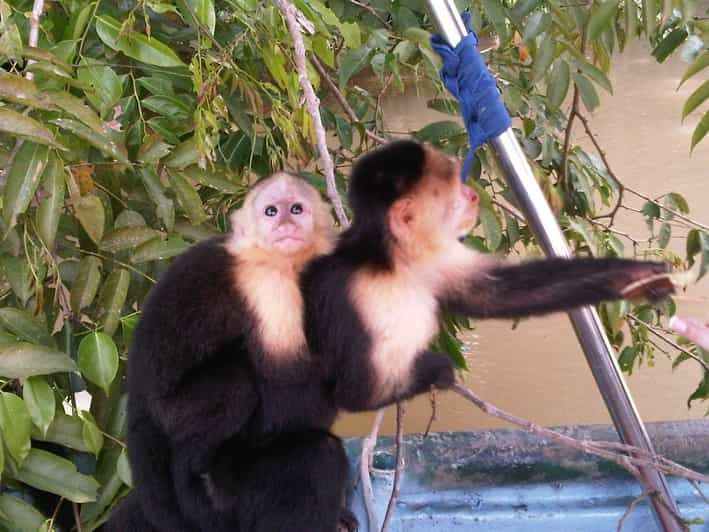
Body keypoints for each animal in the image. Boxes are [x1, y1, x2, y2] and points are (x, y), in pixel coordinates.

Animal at [105, 172, 354, 532]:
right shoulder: (266, 285)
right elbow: (287, 373)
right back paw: (202, 470)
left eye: (296, 208)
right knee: (239, 381)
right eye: (270, 211)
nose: (285, 223)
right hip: (172, 412)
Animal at [300, 140, 676, 412]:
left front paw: (636, 276)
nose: (471, 194)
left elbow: (494, 294)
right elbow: (359, 394)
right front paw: (437, 370)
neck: (394, 263)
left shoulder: (435, 258)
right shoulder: (350, 295)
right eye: (454, 191)